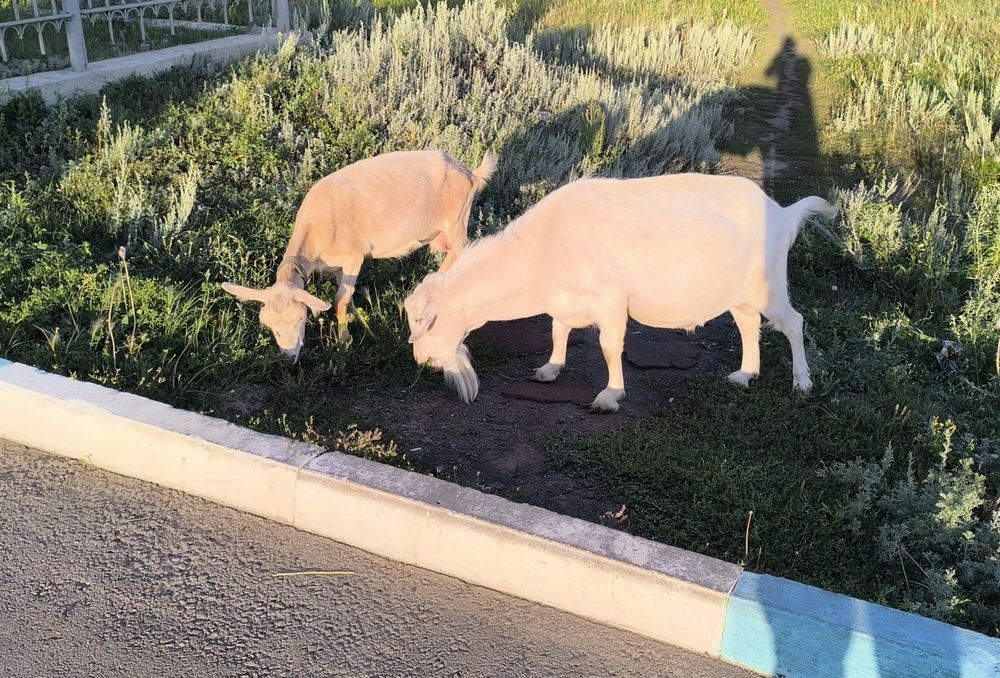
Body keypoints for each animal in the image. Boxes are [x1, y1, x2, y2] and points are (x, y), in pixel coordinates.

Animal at [222, 149, 496, 362]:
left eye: (300, 319)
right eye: (268, 325)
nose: (290, 358)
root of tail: (470, 173)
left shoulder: (354, 257)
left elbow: (339, 300)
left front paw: (343, 341)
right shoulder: (335, 266)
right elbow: (346, 297)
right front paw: (357, 319)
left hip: (457, 222)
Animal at [404, 173, 837, 411]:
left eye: (428, 322)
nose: (421, 359)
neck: (540, 252)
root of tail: (783, 213)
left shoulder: (610, 301)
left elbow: (610, 346)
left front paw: (611, 395)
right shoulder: (565, 300)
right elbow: (558, 331)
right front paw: (549, 369)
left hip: (769, 285)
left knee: (793, 323)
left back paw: (801, 382)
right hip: (740, 293)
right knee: (749, 324)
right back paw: (745, 374)